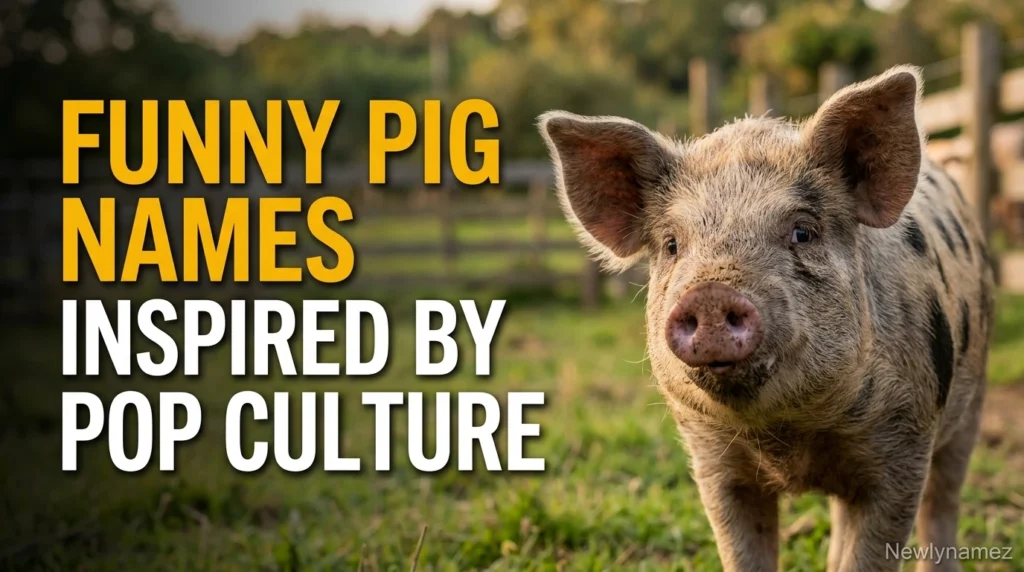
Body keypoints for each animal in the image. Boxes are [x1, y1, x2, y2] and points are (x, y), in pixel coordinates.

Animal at [538, 66, 996, 572]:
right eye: (673, 244)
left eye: (803, 231)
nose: (711, 293)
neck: (789, 435)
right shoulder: (713, 462)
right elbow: (743, 551)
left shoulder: (905, 442)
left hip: (973, 401)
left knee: (943, 500)